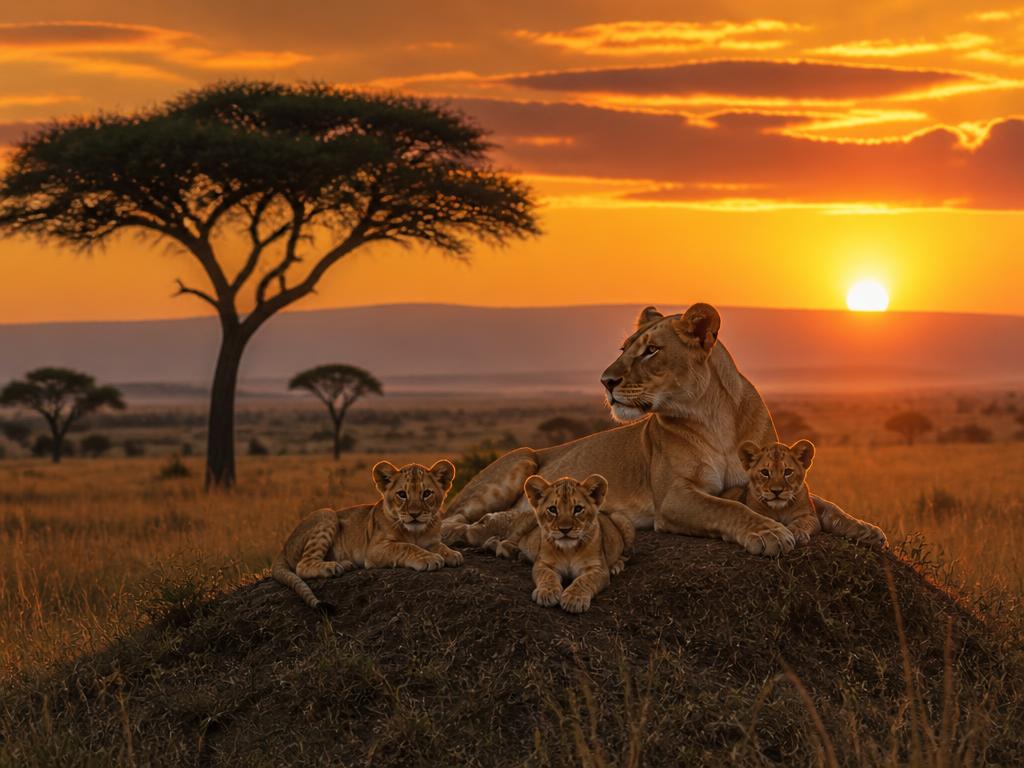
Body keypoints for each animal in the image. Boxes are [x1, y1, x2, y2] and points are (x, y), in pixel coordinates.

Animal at [272, 459, 461, 610]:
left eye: (426, 493)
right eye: (402, 494)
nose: (414, 514)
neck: (416, 533)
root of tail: (283, 548)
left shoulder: (431, 541)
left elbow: (440, 545)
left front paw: (453, 554)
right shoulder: (374, 550)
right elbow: (406, 546)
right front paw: (429, 558)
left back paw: (345, 564)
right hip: (327, 514)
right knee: (302, 565)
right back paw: (331, 567)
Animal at [728, 440, 887, 547]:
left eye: (788, 472)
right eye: (765, 472)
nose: (776, 491)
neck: (780, 509)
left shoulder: (810, 516)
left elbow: (802, 522)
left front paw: (796, 532)